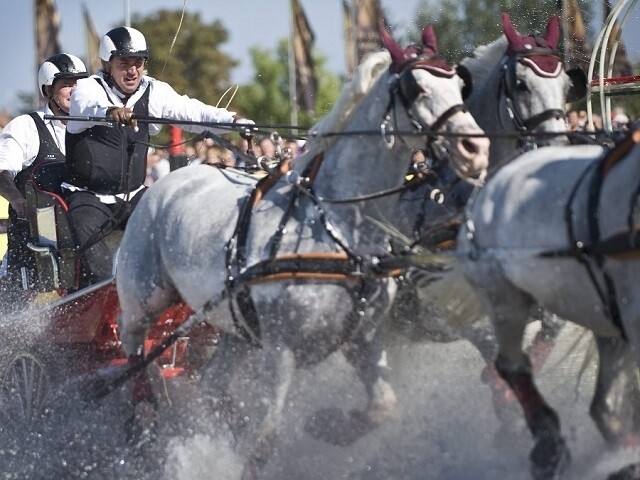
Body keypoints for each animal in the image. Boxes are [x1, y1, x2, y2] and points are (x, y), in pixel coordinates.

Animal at [116, 27, 490, 480]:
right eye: (414, 89)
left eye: (459, 85)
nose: (475, 150)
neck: (335, 225)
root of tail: (169, 180)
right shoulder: (280, 350)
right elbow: (266, 439)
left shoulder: (364, 338)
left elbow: (382, 407)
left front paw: (326, 424)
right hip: (144, 296)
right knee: (133, 346)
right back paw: (142, 405)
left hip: (235, 329)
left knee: (212, 384)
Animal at [388, 12, 588, 424]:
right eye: (520, 84)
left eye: (564, 85)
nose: (557, 146)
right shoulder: (436, 308)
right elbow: (488, 342)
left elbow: (552, 322)